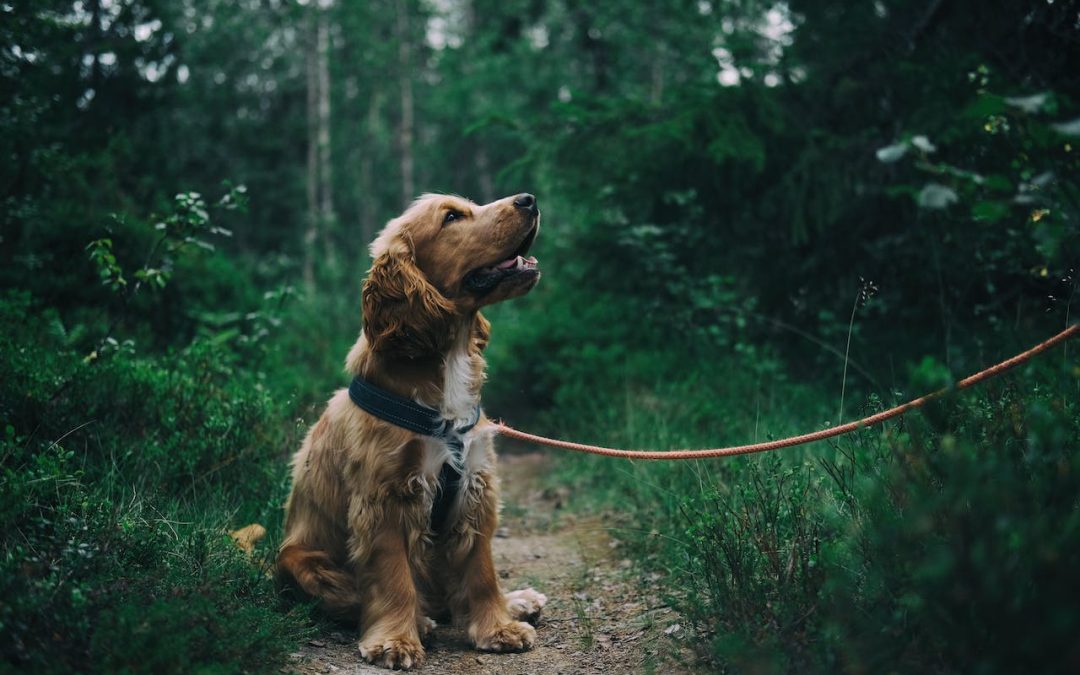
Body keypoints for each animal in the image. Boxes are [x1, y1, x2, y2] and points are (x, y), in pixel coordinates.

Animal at [278, 192, 548, 665]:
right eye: (452, 217)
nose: (529, 199)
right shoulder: (386, 497)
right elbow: (392, 577)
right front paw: (396, 641)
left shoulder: (475, 486)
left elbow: (481, 570)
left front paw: (498, 627)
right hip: (302, 563)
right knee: (357, 598)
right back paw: (421, 621)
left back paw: (516, 601)